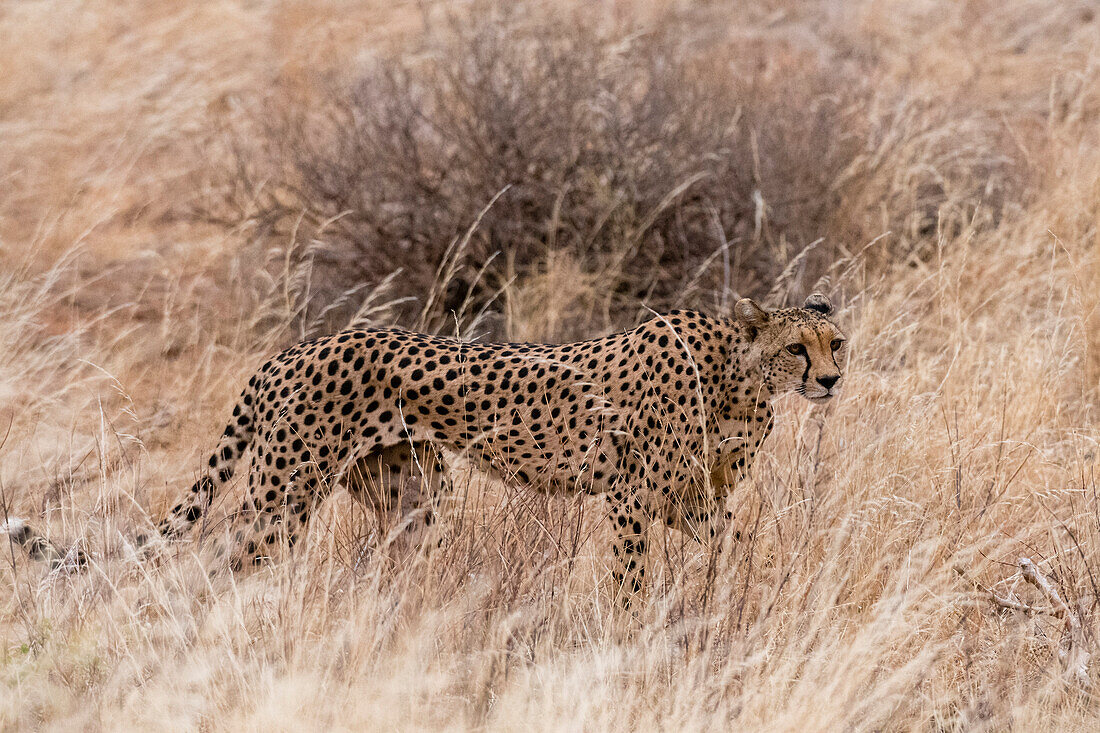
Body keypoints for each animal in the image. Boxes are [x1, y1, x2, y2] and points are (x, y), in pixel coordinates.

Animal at [4, 294, 849, 598]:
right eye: (797, 349)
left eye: (835, 341)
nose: (833, 379)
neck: (742, 376)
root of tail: (292, 349)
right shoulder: (631, 496)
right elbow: (634, 577)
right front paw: (634, 631)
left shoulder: (690, 500)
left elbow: (732, 541)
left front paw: (741, 595)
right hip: (283, 495)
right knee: (222, 560)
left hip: (413, 491)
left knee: (386, 556)